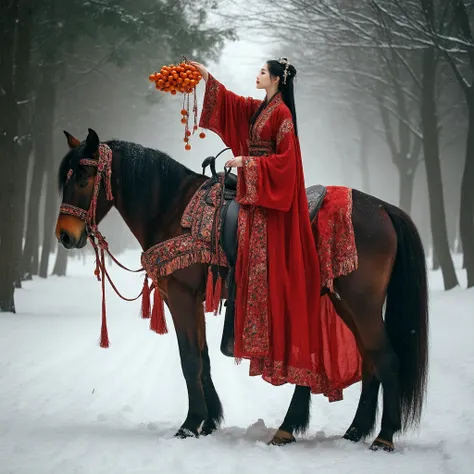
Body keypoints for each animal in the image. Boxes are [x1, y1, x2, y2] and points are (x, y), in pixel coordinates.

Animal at [55, 129, 430, 452]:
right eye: (66, 181)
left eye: (84, 180)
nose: (64, 235)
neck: (174, 209)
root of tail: (382, 208)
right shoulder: (193, 300)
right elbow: (203, 357)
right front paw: (208, 421)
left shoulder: (181, 296)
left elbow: (189, 359)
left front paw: (189, 425)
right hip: (345, 303)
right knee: (370, 361)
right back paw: (350, 431)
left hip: (361, 303)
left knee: (387, 359)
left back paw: (382, 437)